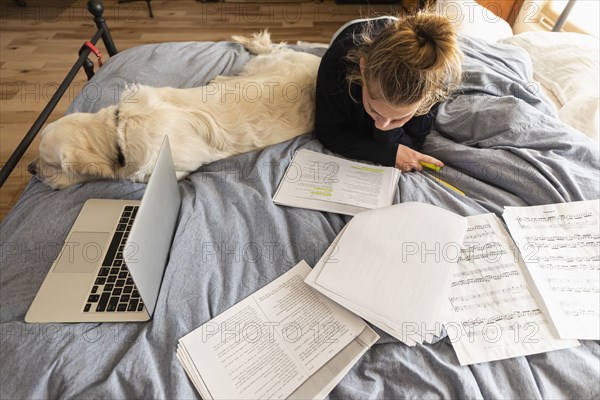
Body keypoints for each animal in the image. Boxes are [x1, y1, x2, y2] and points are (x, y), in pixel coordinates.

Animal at [28, 30, 322, 188]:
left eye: (52, 164)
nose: (30, 168)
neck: (120, 132)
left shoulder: (175, 169)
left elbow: (139, 178)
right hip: (261, 68)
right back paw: (220, 77)